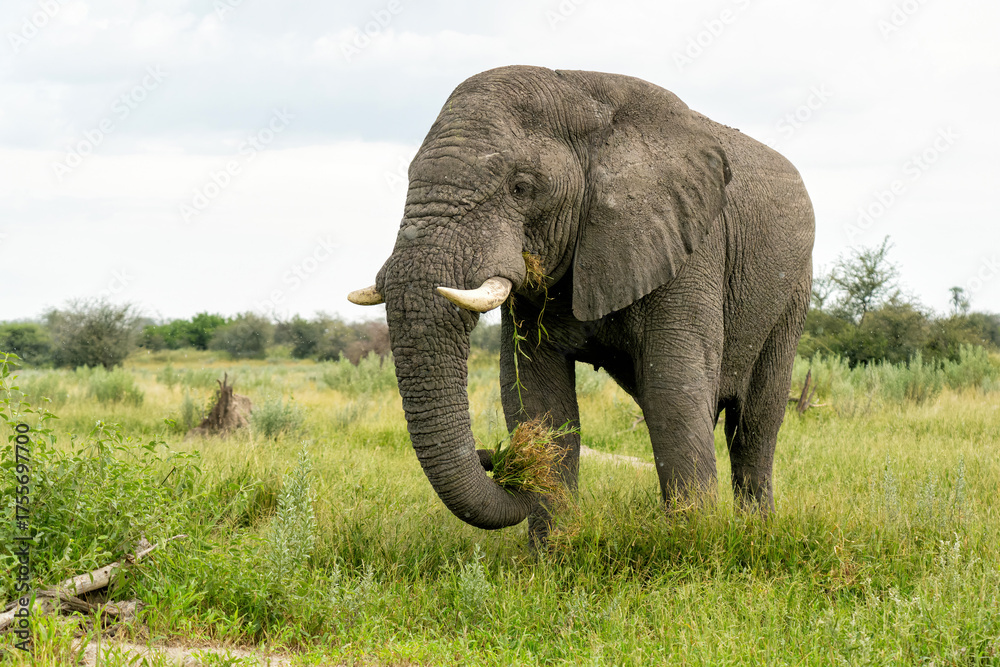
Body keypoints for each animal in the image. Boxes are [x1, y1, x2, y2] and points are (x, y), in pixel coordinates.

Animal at [349, 65, 814, 544]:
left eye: (521, 188)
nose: (504, 463)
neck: (582, 94)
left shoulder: (692, 246)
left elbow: (673, 393)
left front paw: (691, 542)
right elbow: (537, 397)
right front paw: (552, 551)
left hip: (793, 291)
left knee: (754, 423)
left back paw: (757, 532)